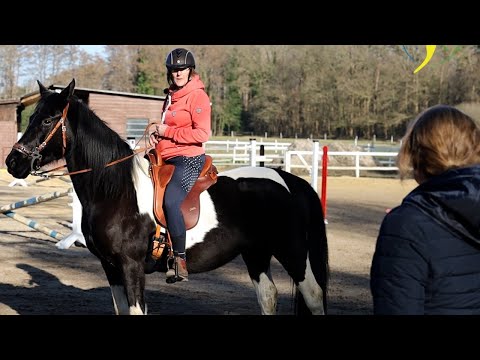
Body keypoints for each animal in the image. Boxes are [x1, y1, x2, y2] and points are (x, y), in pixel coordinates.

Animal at [5, 79, 330, 316]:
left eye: (48, 121)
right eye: (32, 117)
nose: (12, 162)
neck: (116, 191)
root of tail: (290, 181)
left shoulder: (131, 266)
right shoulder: (111, 268)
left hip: (292, 251)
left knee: (313, 295)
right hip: (256, 252)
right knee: (268, 296)